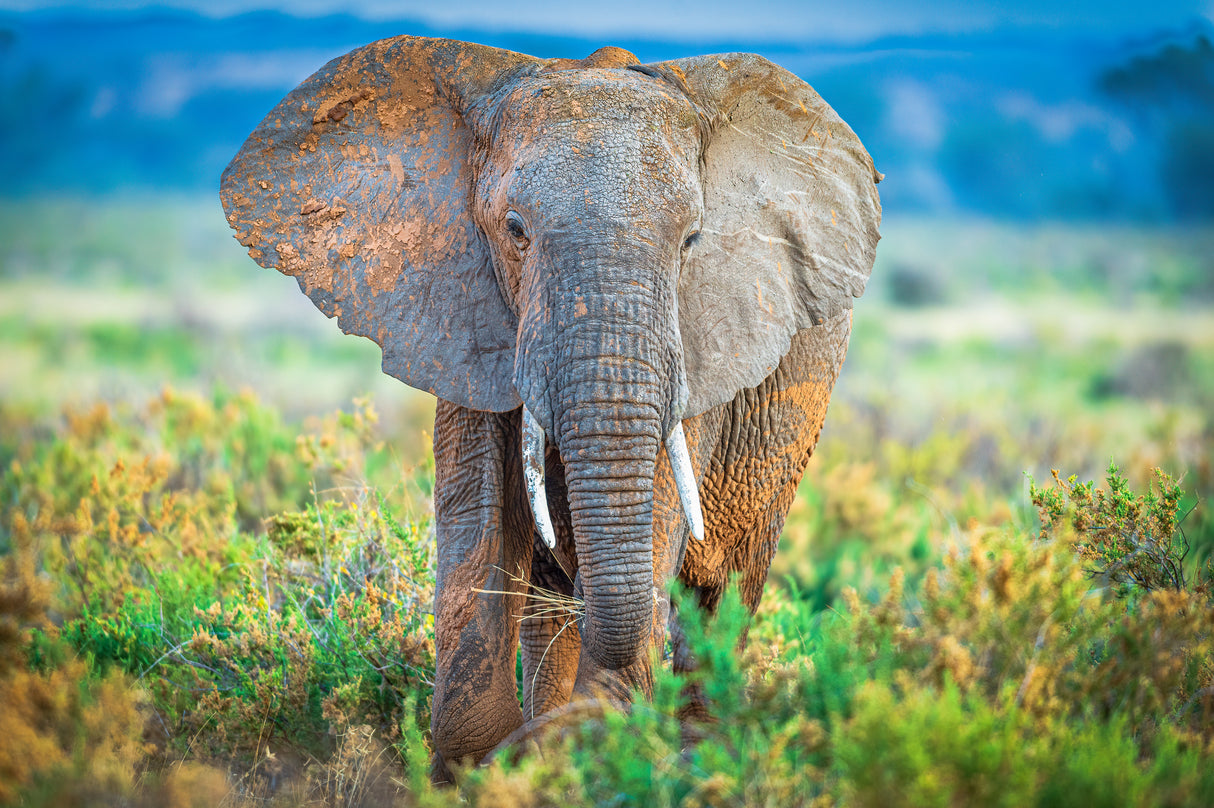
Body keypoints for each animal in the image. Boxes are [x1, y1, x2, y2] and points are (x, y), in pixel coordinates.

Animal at [220, 36, 881, 781]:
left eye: (692, 241)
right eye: (515, 231)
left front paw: (575, 748)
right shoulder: (463, 306)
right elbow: (478, 508)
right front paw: (492, 760)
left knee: (723, 587)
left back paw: (699, 758)